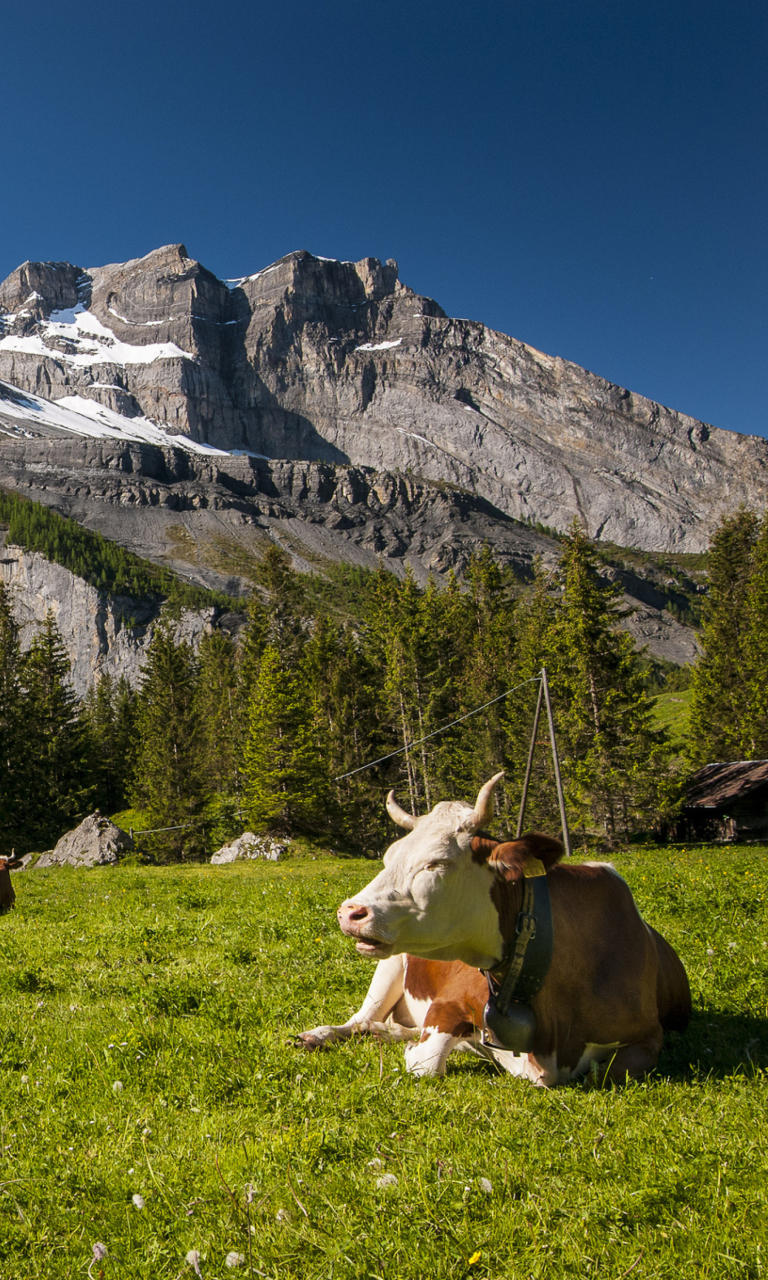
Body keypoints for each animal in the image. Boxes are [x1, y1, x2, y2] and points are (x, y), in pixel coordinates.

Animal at [299, 773, 691, 1085]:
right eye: (388, 857)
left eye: (438, 863)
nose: (349, 912)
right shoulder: (450, 1002)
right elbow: (427, 1062)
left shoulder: (649, 1036)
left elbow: (608, 1072)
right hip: (391, 966)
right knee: (358, 1020)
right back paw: (319, 1034)